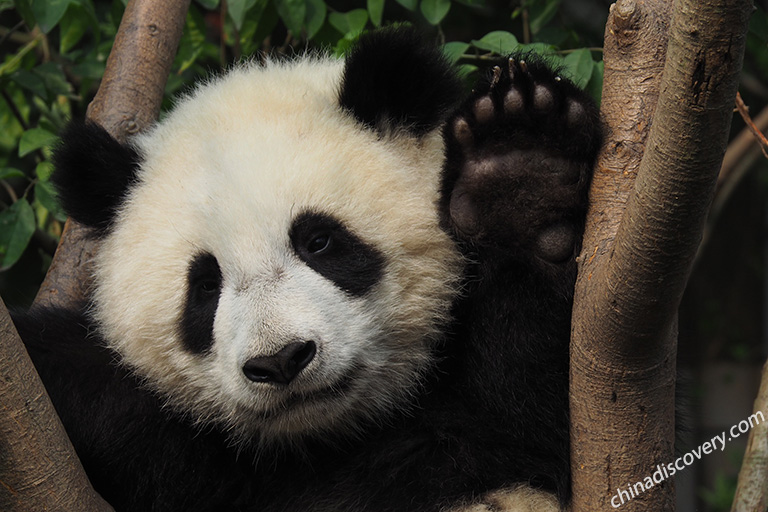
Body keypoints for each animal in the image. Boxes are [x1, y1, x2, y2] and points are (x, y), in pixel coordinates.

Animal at [12, 27, 600, 512]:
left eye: (318, 242)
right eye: (205, 285)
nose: (280, 361)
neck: (327, 436)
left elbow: (525, 411)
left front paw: (520, 169)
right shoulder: (166, 439)